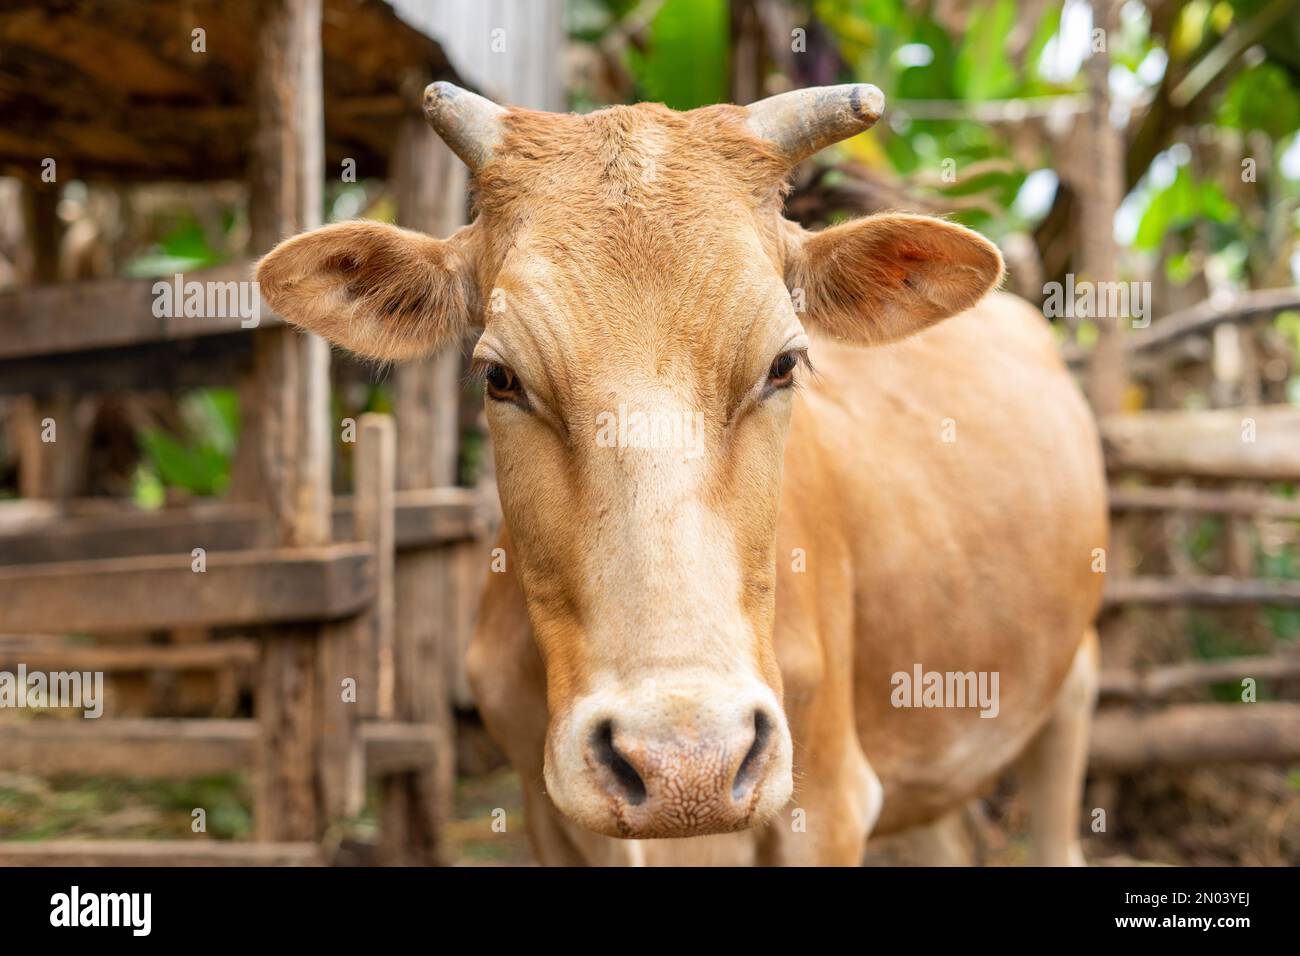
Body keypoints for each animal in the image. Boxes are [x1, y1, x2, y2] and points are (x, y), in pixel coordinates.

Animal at [257, 81, 1107, 866]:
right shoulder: (550, 817)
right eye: (499, 377)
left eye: (784, 364)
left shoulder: (827, 807)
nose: (686, 765)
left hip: (1069, 693)